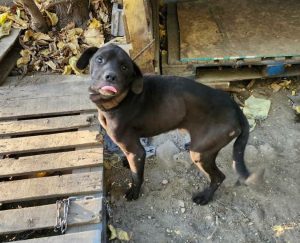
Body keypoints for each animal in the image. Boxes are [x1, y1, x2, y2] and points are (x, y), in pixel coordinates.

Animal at [76, 44, 256, 205]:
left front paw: (134, 192)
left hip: (201, 154)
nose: (110, 77)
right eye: (99, 59)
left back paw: (205, 197)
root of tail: (236, 108)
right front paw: (127, 163)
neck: (121, 100)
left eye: (125, 67)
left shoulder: (136, 152)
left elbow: (136, 175)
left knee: (219, 177)